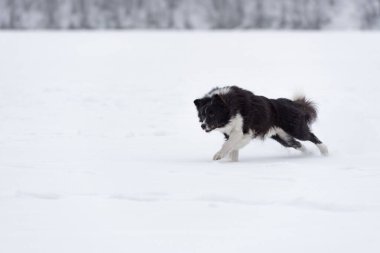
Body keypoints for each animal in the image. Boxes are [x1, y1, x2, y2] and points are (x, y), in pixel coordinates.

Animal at [194, 86, 328, 162]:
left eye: (212, 114)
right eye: (202, 115)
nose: (203, 126)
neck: (229, 104)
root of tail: (293, 103)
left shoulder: (242, 131)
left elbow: (229, 144)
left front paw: (219, 155)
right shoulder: (231, 133)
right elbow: (232, 147)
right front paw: (232, 162)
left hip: (295, 129)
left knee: (312, 137)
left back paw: (325, 153)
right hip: (283, 138)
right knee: (298, 144)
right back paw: (308, 154)